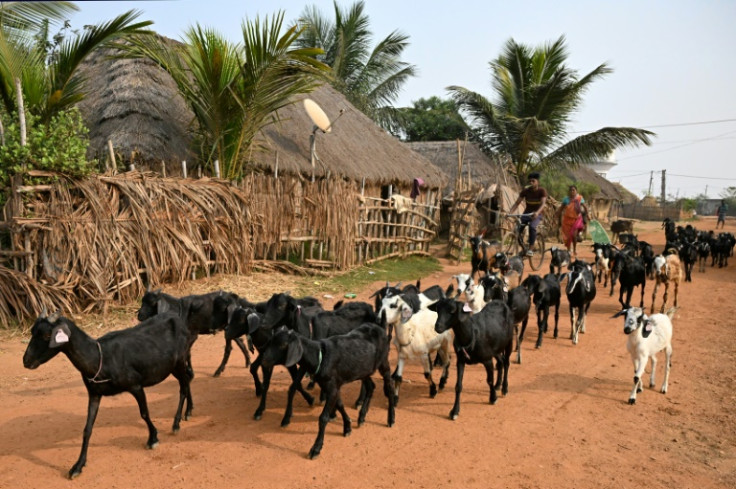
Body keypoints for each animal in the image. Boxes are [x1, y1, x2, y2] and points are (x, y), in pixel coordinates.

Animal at [24, 310, 193, 478]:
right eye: (33, 332)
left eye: (47, 335)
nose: (26, 361)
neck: (100, 358)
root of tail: (175, 316)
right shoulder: (94, 394)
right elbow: (87, 429)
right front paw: (78, 466)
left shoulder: (136, 385)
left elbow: (144, 413)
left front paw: (153, 439)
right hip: (172, 366)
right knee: (187, 380)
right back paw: (189, 411)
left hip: (180, 360)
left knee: (184, 386)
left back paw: (176, 423)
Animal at [260, 324, 394, 458]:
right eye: (270, 341)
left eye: (282, 345)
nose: (264, 360)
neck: (320, 356)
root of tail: (378, 327)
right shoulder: (332, 386)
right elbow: (339, 404)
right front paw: (347, 426)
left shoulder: (332, 387)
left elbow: (323, 417)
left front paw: (316, 448)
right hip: (363, 370)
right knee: (371, 386)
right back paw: (361, 417)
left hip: (384, 362)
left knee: (389, 387)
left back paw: (391, 419)